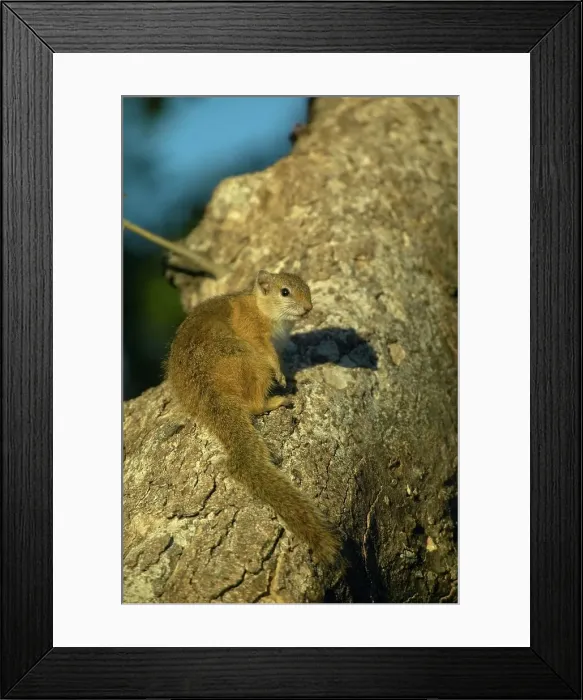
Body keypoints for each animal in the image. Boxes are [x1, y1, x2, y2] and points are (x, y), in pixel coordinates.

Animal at [166, 269, 341, 564]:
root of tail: (206, 394)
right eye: (285, 292)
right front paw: (281, 374)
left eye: (306, 287)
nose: (308, 308)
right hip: (250, 362)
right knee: (255, 405)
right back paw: (275, 400)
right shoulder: (254, 331)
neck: (261, 307)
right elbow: (270, 355)